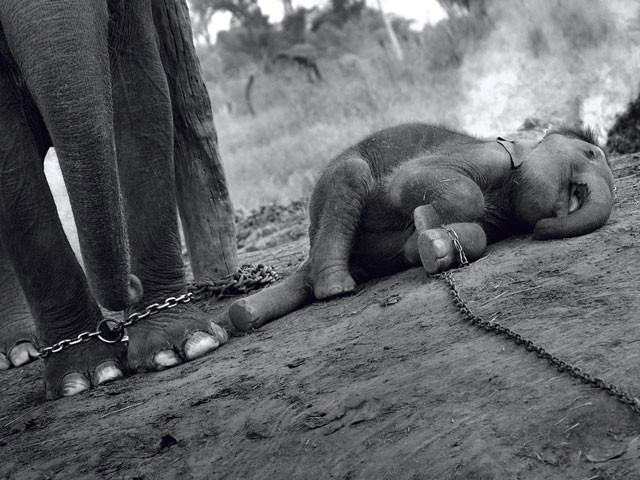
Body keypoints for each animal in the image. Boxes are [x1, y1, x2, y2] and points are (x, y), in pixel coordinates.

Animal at [230, 123, 616, 330]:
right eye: (591, 154)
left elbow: (479, 233)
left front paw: (425, 244)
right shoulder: (484, 157)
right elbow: (408, 180)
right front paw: (420, 223)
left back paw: (244, 314)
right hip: (329, 191)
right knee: (351, 174)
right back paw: (335, 289)